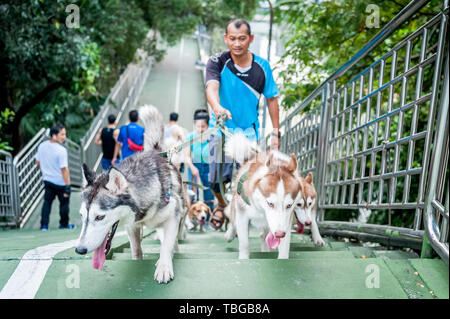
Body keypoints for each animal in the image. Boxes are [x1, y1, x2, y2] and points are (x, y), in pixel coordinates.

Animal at [74, 105, 187, 284]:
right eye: (81, 216)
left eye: (99, 217)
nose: (79, 250)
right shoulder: (132, 226)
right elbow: (136, 250)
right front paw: (138, 261)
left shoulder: (172, 218)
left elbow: (167, 246)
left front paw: (164, 267)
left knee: (174, 241)